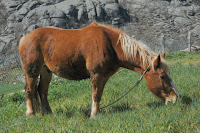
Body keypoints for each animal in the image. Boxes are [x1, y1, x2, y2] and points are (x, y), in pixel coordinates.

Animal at [18, 21, 179, 118]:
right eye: (162, 76)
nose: (174, 99)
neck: (110, 44)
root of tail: (24, 38)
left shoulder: (104, 76)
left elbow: (98, 95)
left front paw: (95, 111)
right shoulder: (96, 74)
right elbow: (95, 94)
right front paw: (94, 115)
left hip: (46, 71)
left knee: (42, 91)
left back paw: (47, 113)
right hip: (31, 70)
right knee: (29, 89)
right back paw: (31, 113)